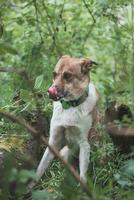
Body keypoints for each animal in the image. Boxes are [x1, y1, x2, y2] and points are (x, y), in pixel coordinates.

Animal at [35, 55, 98, 184]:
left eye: (67, 75)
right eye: (54, 74)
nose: (50, 91)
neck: (70, 106)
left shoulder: (84, 144)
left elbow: (83, 177)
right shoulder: (53, 141)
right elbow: (40, 169)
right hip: (63, 153)